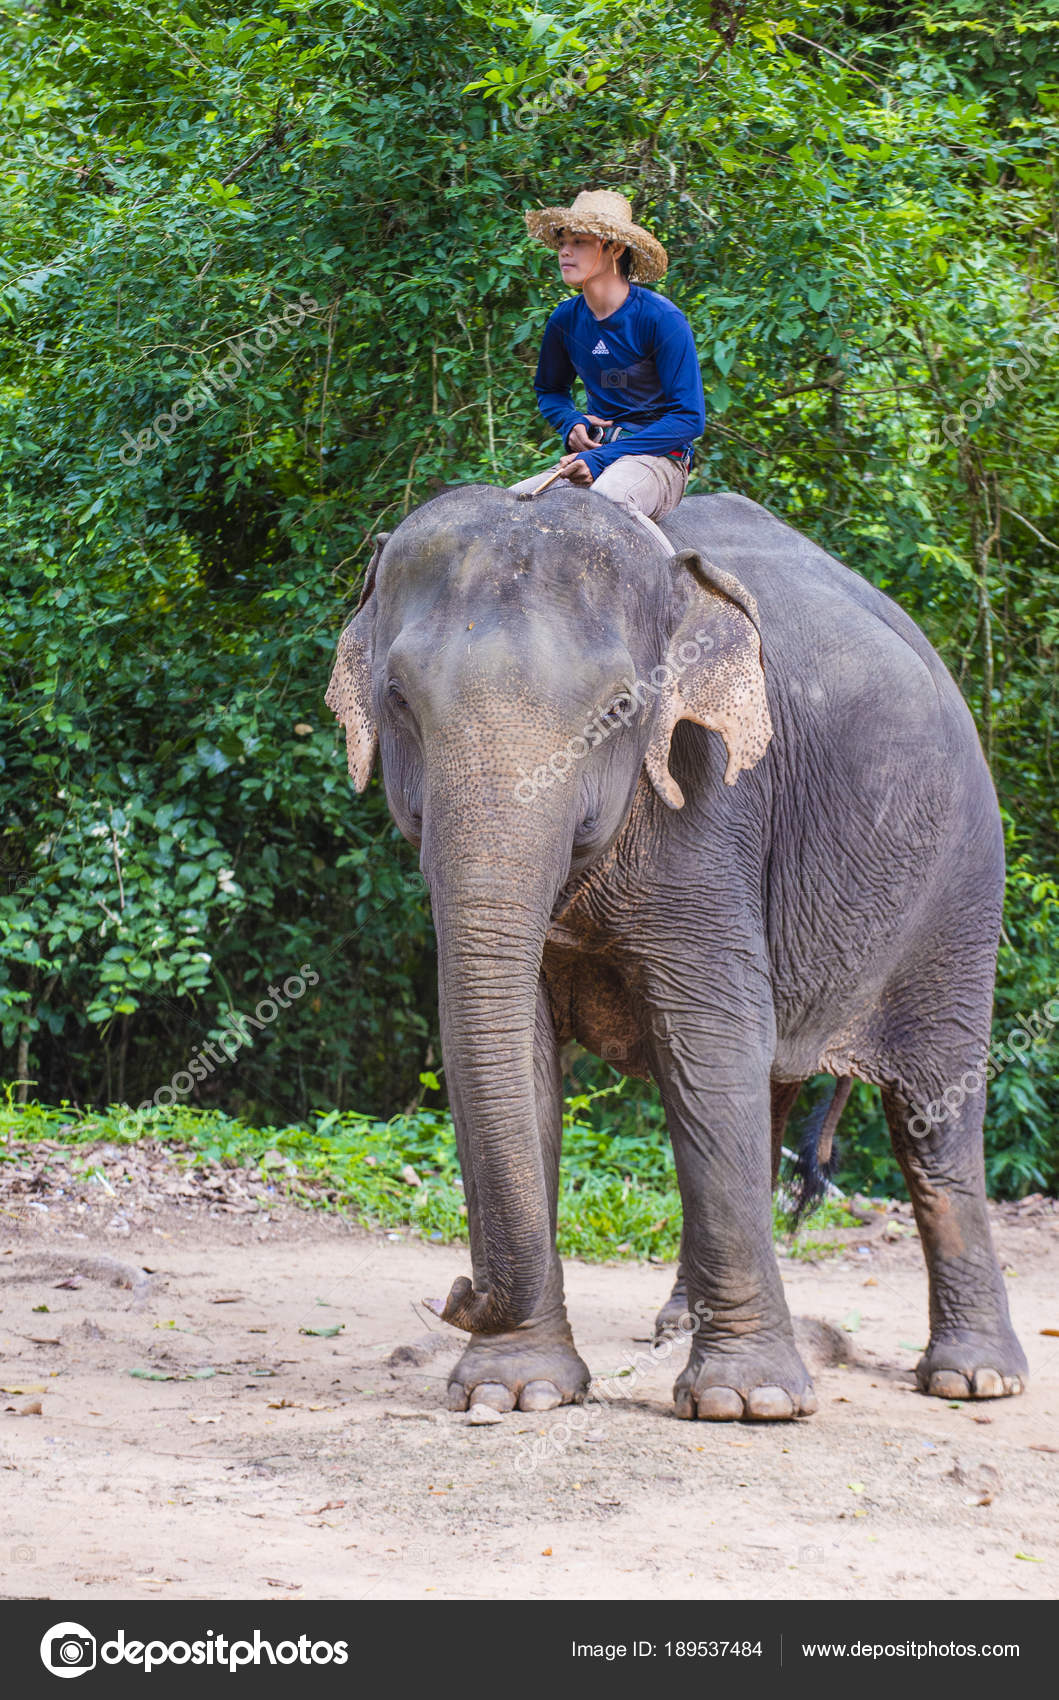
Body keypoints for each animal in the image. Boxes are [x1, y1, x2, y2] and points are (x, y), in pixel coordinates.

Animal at [328, 489, 1033, 1421]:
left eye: (618, 711)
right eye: (399, 699)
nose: (454, 1291)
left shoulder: (712, 804)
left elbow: (707, 1038)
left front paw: (748, 1403)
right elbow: (525, 1051)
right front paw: (515, 1392)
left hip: (960, 889)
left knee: (932, 1113)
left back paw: (974, 1379)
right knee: (769, 1092)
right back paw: (675, 1323)